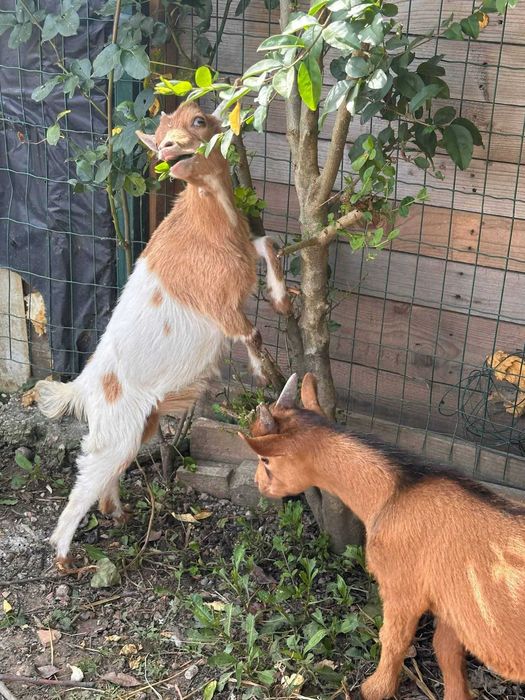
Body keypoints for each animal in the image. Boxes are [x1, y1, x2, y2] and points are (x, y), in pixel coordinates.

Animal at [36, 102, 290, 567]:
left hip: (136, 428)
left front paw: (282, 299)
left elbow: (268, 243)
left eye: (200, 121)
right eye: (158, 136)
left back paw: (117, 514)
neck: (205, 222)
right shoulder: (220, 305)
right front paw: (264, 374)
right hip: (115, 433)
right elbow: (251, 332)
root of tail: (83, 384)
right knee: (83, 481)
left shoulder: (244, 259)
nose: (170, 149)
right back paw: (64, 557)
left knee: (105, 479)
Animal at [240, 373, 525, 700]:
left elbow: (393, 637)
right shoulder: (452, 607)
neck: (394, 494)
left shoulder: (401, 586)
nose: (257, 483)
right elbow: (446, 652)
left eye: (265, 460)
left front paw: (375, 688)